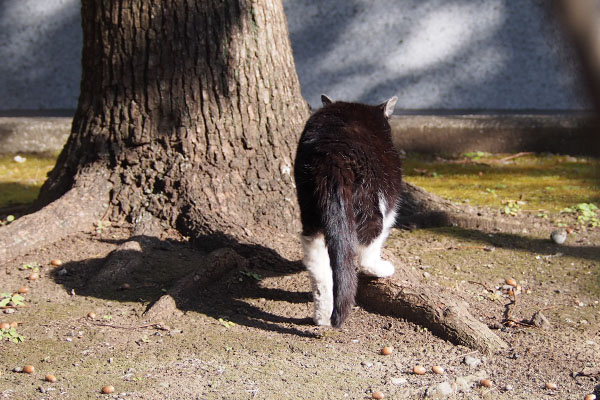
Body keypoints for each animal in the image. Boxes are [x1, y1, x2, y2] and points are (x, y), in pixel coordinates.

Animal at [294, 94, 404, 328]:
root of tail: (332, 156)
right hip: (374, 199)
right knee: (369, 242)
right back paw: (380, 268)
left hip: (309, 202)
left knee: (315, 255)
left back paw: (323, 315)